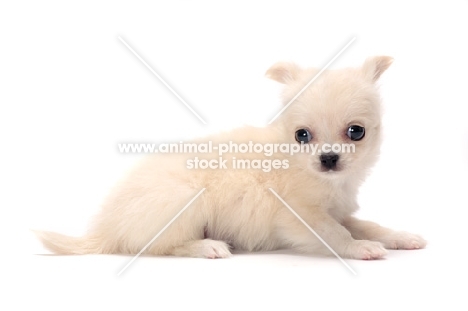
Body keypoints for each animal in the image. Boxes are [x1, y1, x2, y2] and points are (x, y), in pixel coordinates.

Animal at [36, 56, 426, 260]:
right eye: (302, 135)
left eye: (356, 132)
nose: (328, 159)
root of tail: (106, 230)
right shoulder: (300, 215)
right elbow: (335, 233)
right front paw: (359, 247)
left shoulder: (338, 208)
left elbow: (366, 223)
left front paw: (399, 236)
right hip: (184, 200)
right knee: (157, 247)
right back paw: (206, 246)